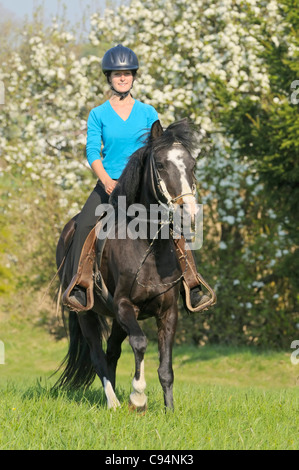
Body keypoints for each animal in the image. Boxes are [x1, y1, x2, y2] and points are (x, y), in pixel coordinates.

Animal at [54, 118, 202, 412]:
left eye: (192, 165)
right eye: (161, 165)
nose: (188, 213)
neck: (147, 245)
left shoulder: (168, 312)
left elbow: (166, 368)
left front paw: (169, 410)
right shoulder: (125, 306)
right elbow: (141, 343)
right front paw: (138, 396)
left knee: (111, 352)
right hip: (86, 313)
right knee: (98, 355)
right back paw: (113, 403)